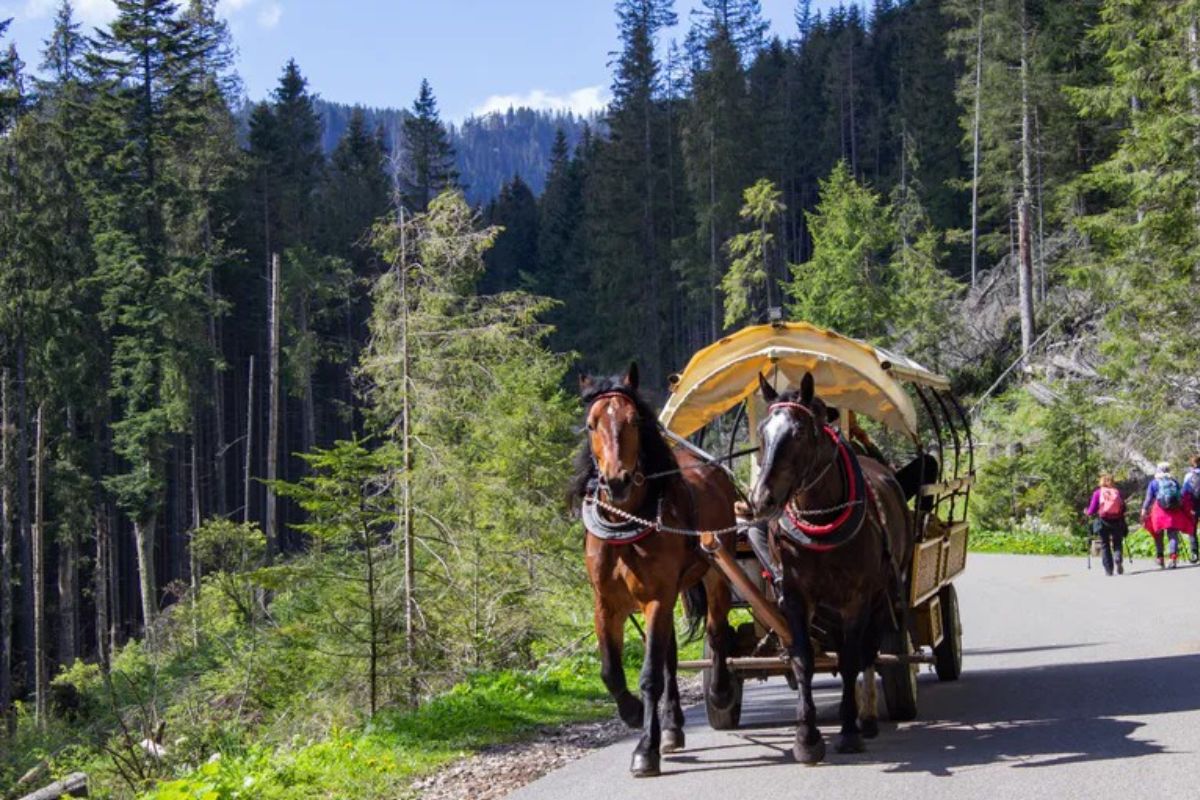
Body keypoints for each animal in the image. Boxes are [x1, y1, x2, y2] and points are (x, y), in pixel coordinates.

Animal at [573, 367, 739, 777]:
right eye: (591, 424)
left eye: (634, 421)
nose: (616, 480)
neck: (625, 524)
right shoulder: (606, 604)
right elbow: (612, 672)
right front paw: (633, 714)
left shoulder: (655, 599)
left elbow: (649, 676)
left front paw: (644, 749)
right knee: (671, 658)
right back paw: (673, 729)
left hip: (716, 571)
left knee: (716, 631)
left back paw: (721, 691)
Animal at [748, 374, 907, 762]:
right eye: (762, 430)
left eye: (800, 433)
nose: (761, 500)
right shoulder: (794, 596)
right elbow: (803, 659)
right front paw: (806, 737)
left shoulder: (856, 600)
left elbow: (850, 660)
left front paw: (848, 731)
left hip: (882, 595)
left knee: (869, 650)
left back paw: (867, 718)